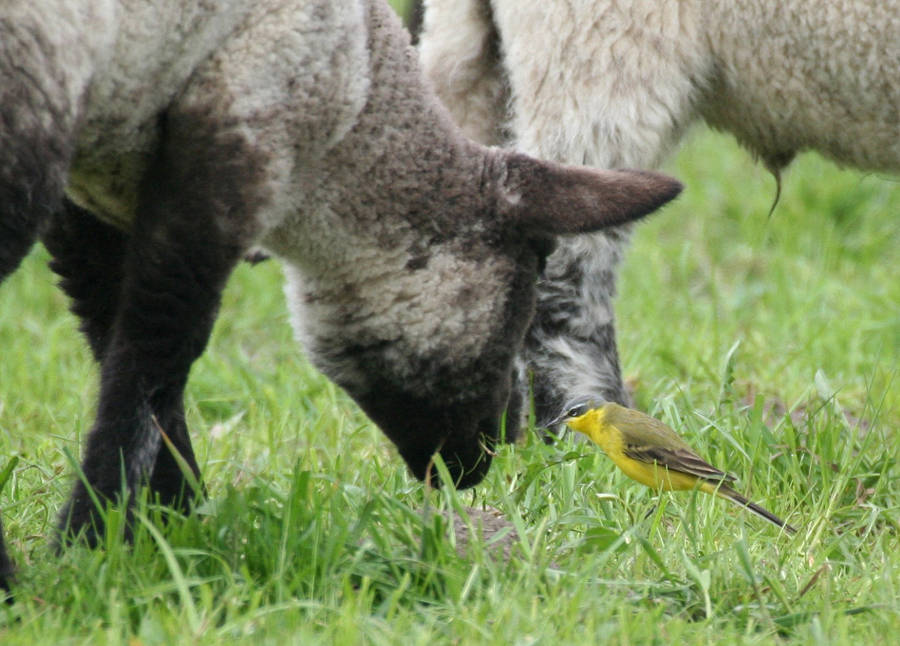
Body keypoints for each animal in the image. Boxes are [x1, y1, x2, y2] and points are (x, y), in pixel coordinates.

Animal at [0, 0, 680, 592]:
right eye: (518, 304)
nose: (482, 463)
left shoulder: (100, 177)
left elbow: (113, 335)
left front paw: (166, 522)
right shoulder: (245, 122)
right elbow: (158, 355)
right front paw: (95, 537)